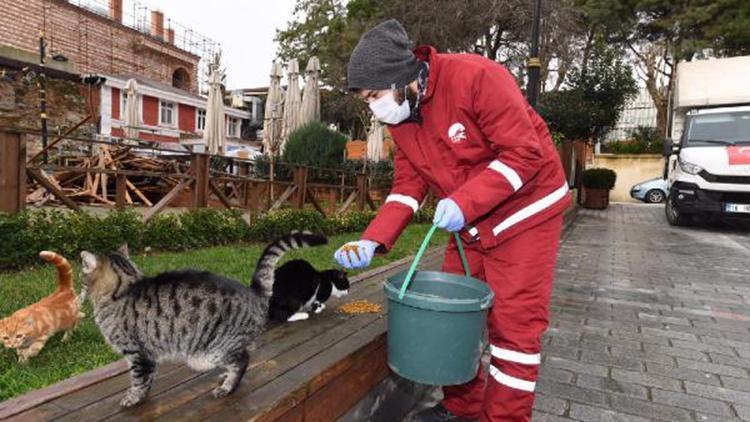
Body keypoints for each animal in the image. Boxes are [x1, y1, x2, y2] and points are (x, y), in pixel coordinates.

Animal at [79, 232, 326, 408]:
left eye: (82, 275)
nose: (79, 287)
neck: (125, 287)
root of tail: (254, 292)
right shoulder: (148, 357)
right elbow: (148, 381)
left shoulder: (139, 355)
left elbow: (139, 381)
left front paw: (133, 398)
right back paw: (225, 377)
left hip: (213, 349)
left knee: (242, 361)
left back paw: (227, 387)